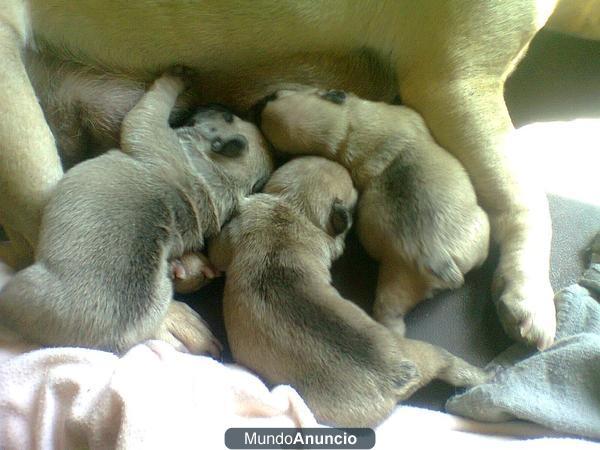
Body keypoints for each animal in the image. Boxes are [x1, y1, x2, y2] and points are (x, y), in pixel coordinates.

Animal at [0, 73, 274, 356]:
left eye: (228, 117)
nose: (213, 103)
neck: (218, 176)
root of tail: (111, 339)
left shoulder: (150, 129)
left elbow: (152, 106)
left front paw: (176, 77)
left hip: (28, 284)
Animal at [209, 157, 490, 426]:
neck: (293, 207)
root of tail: (396, 375)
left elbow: (217, 252)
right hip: (423, 352)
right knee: (448, 362)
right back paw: (481, 378)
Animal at [258, 88, 488, 336]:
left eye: (275, 97)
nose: (260, 101)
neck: (345, 131)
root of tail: (431, 256)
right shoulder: (408, 115)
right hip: (481, 227)